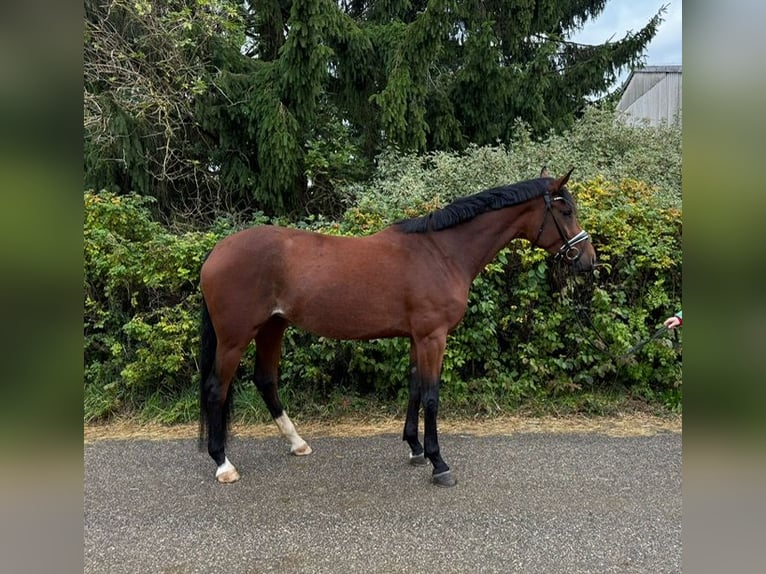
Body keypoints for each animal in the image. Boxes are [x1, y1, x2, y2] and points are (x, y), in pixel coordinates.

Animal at [198, 167, 596, 487]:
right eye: (565, 210)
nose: (588, 260)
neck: (441, 252)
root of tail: (217, 251)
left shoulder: (417, 337)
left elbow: (415, 388)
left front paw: (416, 448)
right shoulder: (433, 337)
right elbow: (432, 396)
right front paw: (439, 464)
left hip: (272, 327)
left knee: (265, 380)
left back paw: (297, 443)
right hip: (235, 337)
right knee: (217, 389)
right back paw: (223, 464)